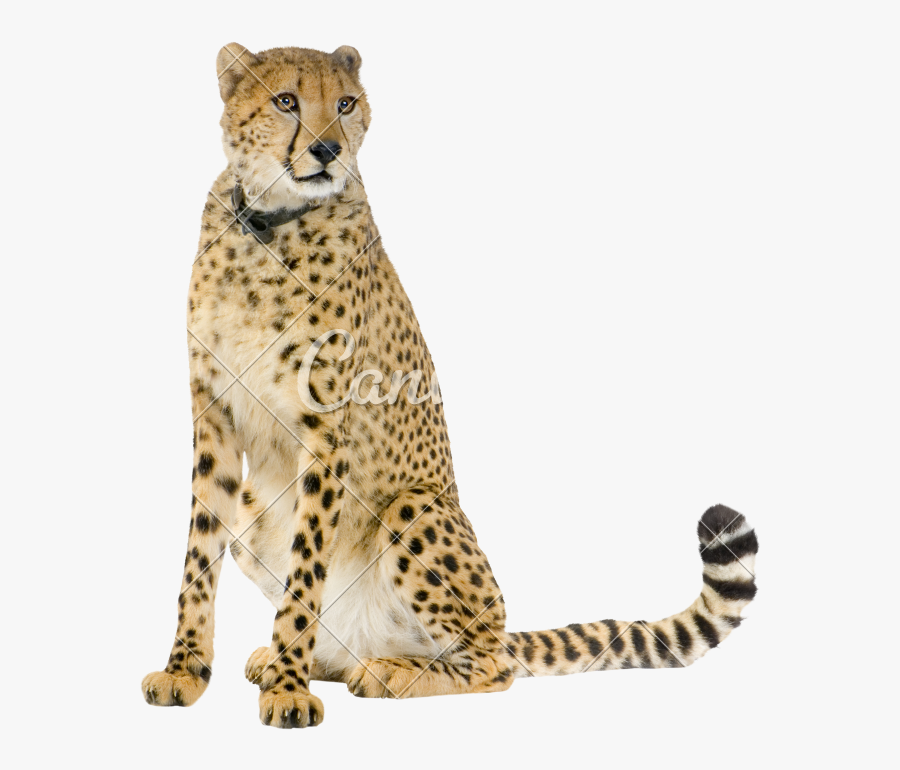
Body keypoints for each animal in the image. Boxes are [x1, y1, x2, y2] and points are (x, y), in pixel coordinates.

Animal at [141, 43, 760, 729]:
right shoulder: (214, 417)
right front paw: (185, 670)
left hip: (415, 508)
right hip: (256, 514)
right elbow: (198, 555)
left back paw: (383, 671)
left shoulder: (326, 431)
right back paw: (299, 659)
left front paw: (287, 689)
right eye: (286, 101)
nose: (328, 149)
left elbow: (305, 568)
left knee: (493, 667)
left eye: (345, 103)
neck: (267, 224)